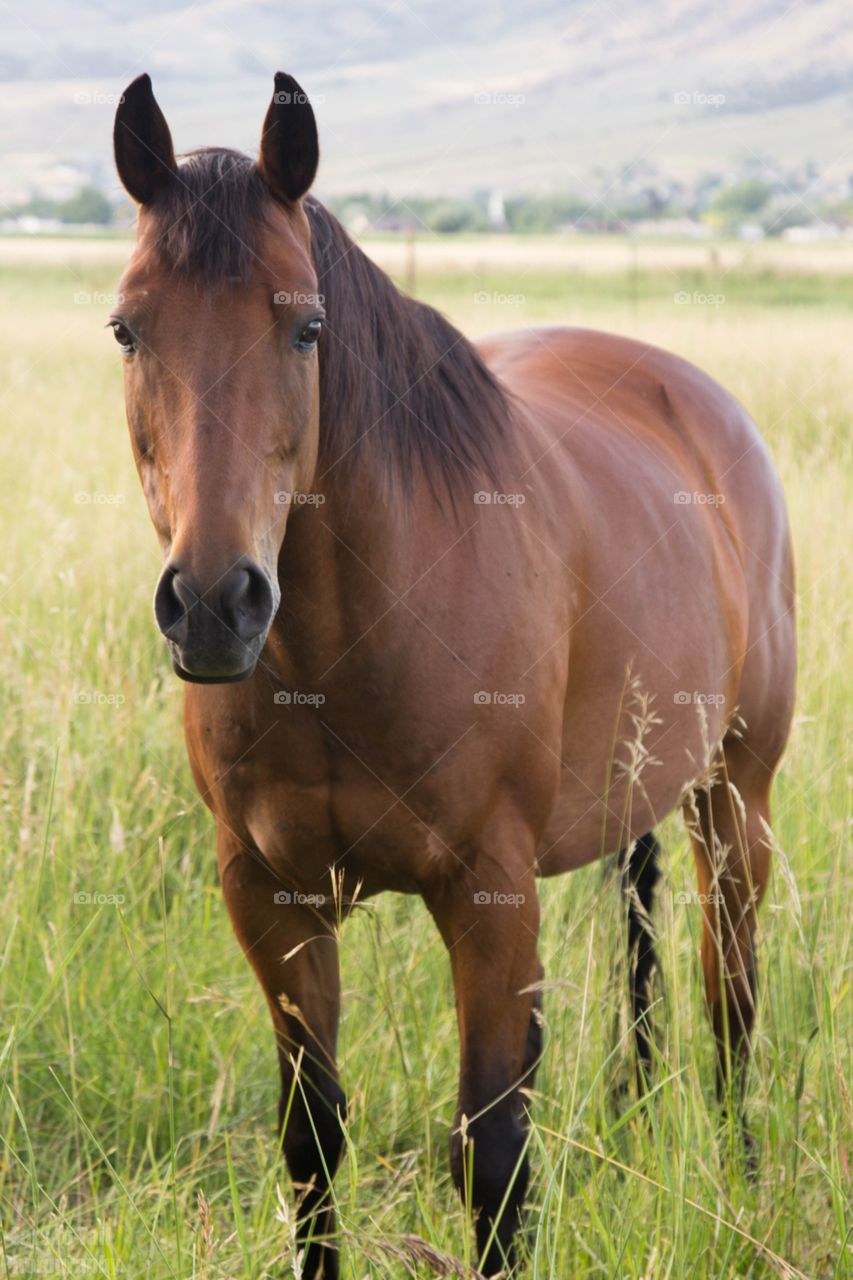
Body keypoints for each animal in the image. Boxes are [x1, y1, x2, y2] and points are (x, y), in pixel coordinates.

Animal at [111, 72, 788, 1280]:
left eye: (307, 327)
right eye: (127, 327)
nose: (216, 603)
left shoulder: (486, 891)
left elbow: (494, 1148)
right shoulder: (268, 896)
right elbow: (311, 1140)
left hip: (734, 802)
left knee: (730, 1002)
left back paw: (740, 1173)